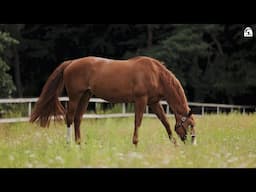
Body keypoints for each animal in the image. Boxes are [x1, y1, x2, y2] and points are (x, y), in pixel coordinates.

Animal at [29, 55, 196, 146]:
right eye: (190, 125)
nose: (192, 142)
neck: (156, 74)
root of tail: (71, 63)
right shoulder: (141, 100)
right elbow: (138, 122)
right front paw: (135, 144)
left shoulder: (153, 103)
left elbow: (165, 122)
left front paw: (174, 145)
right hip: (75, 97)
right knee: (69, 118)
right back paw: (69, 144)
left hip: (85, 96)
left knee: (77, 119)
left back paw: (79, 144)